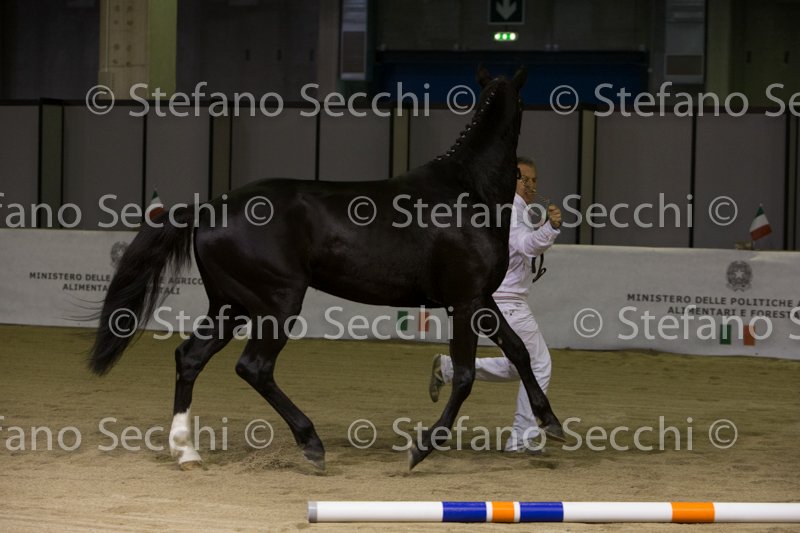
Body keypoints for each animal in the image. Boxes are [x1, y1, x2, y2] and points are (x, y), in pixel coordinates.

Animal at [88, 66, 565, 471]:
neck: (468, 189)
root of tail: (209, 208)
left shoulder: (482, 299)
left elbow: (519, 351)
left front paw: (552, 423)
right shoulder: (465, 300)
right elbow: (465, 376)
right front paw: (422, 448)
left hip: (230, 305)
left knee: (190, 357)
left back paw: (186, 450)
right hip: (276, 303)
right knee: (253, 367)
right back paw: (311, 443)